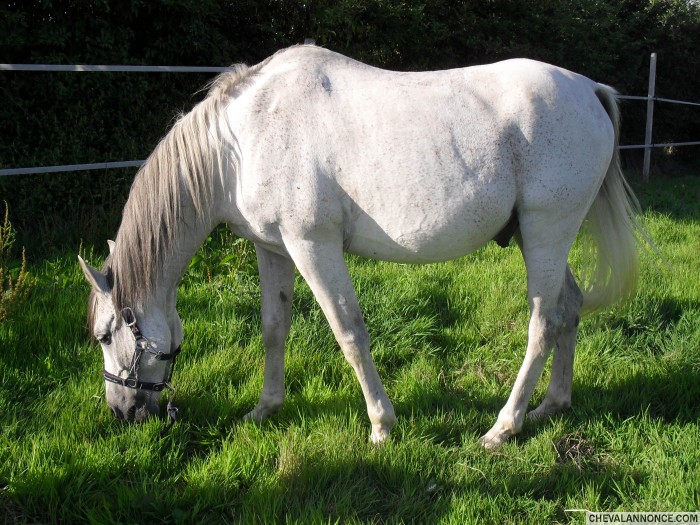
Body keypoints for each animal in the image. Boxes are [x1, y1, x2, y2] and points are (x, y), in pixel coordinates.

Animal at [79, 44, 643, 448]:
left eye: (104, 335)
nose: (121, 412)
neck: (238, 143)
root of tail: (588, 89)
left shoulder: (313, 246)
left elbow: (349, 332)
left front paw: (381, 425)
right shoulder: (274, 250)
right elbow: (273, 328)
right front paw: (265, 408)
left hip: (548, 233)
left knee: (543, 323)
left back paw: (504, 427)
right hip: (537, 237)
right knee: (569, 309)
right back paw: (552, 404)